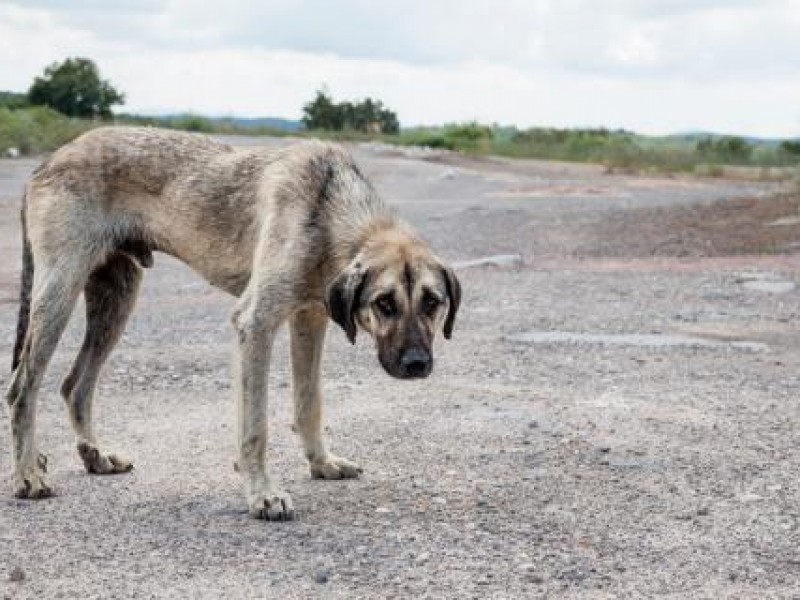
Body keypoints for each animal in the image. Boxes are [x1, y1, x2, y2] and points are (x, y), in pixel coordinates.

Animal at [4, 126, 462, 520]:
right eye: (384, 303)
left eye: (432, 303)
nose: (417, 365)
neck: (330, 208)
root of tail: (47, 161)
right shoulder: (255, 324)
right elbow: (255, 425)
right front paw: (262, 494)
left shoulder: (309, 319)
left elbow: (309, 403)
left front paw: (322, 463)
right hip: (59, 293)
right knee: (22, 388)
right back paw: (28, 474)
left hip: (115, 300)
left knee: (75, 385)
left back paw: (94, 456)